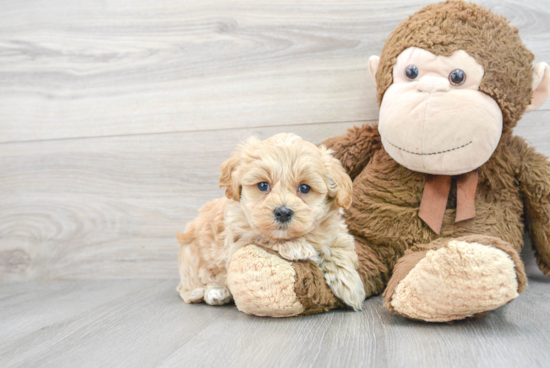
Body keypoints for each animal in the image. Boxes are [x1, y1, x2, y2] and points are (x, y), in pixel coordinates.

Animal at [177, 134, 366, 310]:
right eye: (262, 186)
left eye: (304, 188)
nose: (283, 212)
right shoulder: (237, 240)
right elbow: (263, 237)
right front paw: (297, 247)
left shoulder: (337, 233)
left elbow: (339, 250)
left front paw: (350, 286)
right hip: (191, 258)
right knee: (189, 288)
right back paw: (214, 292)